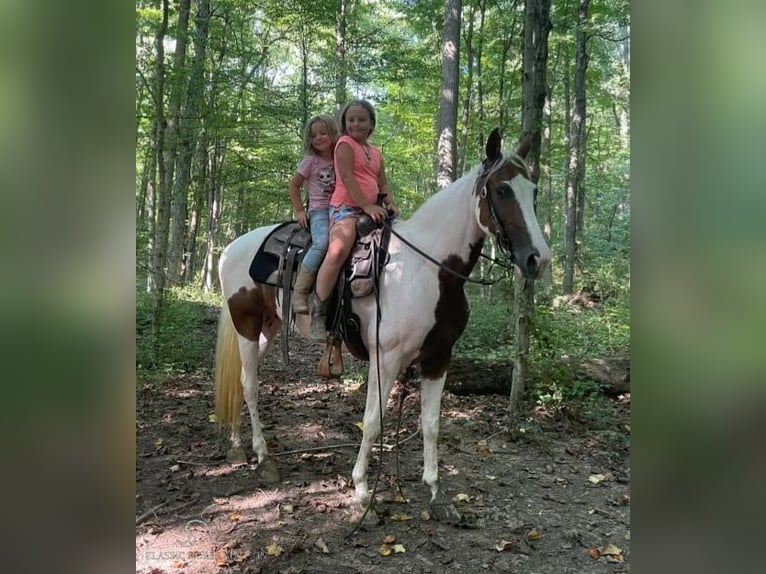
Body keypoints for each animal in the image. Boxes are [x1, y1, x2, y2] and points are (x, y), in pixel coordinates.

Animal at [214, 128, 552, 524]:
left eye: (534, 191)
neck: (430, 269)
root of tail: (231, 247)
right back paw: (264, 458)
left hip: (268, 328)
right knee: (249, 386)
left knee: (241, 381)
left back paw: (238, 446)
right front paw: (362, 493)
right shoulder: (385, 359)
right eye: (501, 190)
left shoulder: (439, 358)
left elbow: (431, 424)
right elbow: (373, 421)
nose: (539, 259)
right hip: (246, 325)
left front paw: (436, 493)